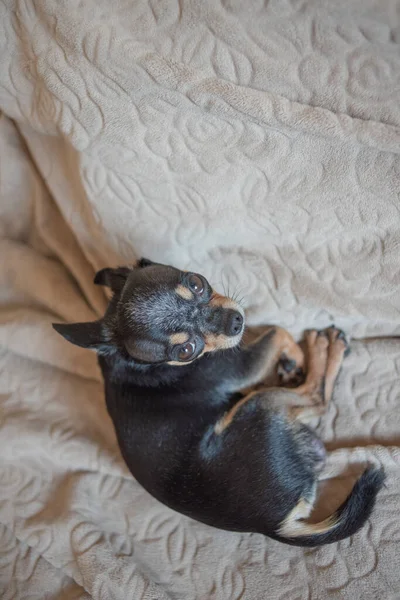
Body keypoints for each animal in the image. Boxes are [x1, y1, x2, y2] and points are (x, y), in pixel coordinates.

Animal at [53, 256, 384, 544]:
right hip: (257, 405)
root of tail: (274, 527)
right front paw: (298, 354)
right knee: (317, 397)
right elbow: (277, 332)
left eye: (196, 283)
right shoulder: (240, 366)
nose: (235, 322)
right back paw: (325, 348)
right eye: (185, 351)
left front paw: (289, 362)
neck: (133, 363)